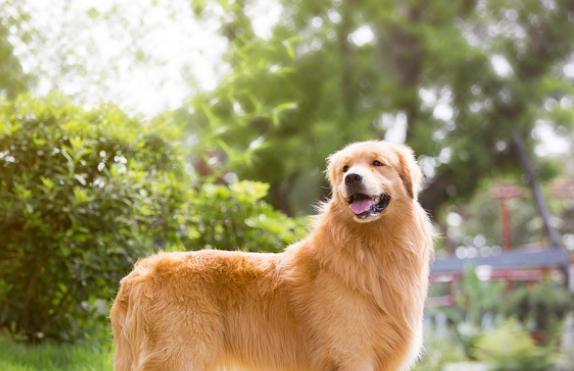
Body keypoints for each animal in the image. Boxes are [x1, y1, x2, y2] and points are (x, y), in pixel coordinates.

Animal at [110, 141, 434, 370]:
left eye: (377, 163)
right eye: (345, 168)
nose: (352, 178)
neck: (369, 248)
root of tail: (135, 275)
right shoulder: (351, 353)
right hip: (180, 356)